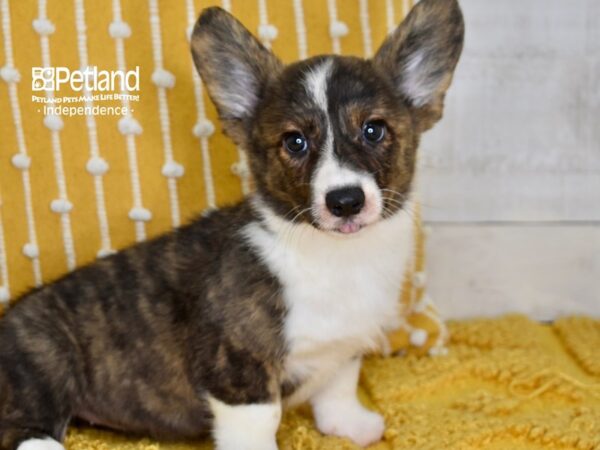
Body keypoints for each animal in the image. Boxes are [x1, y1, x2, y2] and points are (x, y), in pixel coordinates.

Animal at [0, 0, 464, 450]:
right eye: (295, 142)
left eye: (373, 130)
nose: (345, 201)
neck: (332, 256)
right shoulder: (240, 368)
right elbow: (261, 423)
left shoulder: (344, 348)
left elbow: (338, 386)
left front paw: (349, 424)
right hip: (46, 358)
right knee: (23, 428)